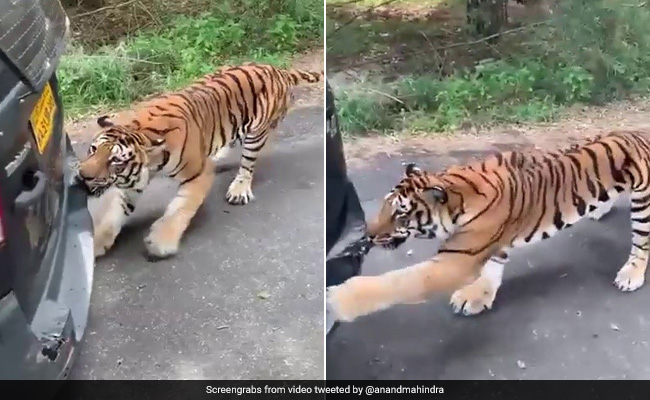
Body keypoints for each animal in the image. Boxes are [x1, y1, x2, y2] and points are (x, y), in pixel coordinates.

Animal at [75, 62, 323, 261]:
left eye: (115, 160)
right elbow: (113, 214)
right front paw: (96, 244)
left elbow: (180, 209)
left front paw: (161, 242)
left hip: (256, 134)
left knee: (248, 165)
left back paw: (239, 189)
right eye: (93, 149)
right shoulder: (132, 183)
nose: (82, 175)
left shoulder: (197, 175)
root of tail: (277, 69)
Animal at [327, 130, 650, 323]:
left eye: (401, 214)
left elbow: (399, 282)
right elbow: (493, 266)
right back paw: (600, 210)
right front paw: (478, 295)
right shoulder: (492, 241)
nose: (368, 234)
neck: (456, 191)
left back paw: (630, 275)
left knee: (641, 244)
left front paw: (339, 300)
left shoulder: (455, 260)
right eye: (384, 206)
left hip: (643, 200)